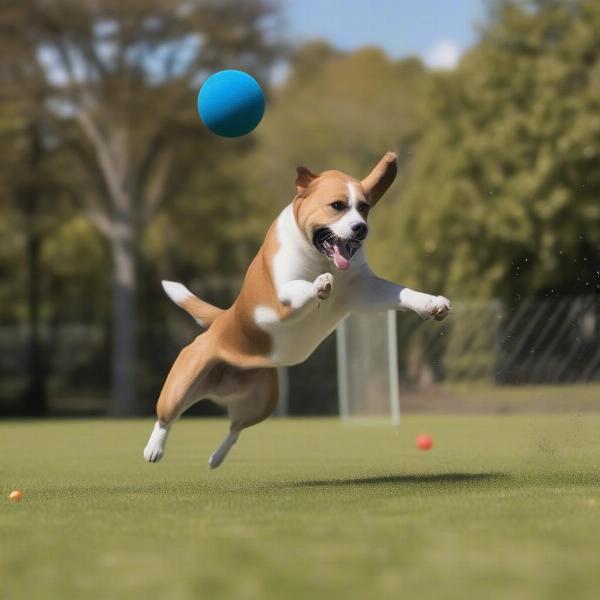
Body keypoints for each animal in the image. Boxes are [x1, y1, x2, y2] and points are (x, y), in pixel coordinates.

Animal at [144, 151, 450, 468]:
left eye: (364, 208)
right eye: (338, 206)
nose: (361, 228)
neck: (321, 259)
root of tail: (222, 319)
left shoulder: (363, 291)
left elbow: (401, 292)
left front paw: (430, 303)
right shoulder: (283, 299)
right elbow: (302, 287)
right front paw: (319, 285)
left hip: (261, 402)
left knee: (235, 428)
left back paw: (216, 458)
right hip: (181, 384)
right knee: (166, 418)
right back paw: (154, 448)